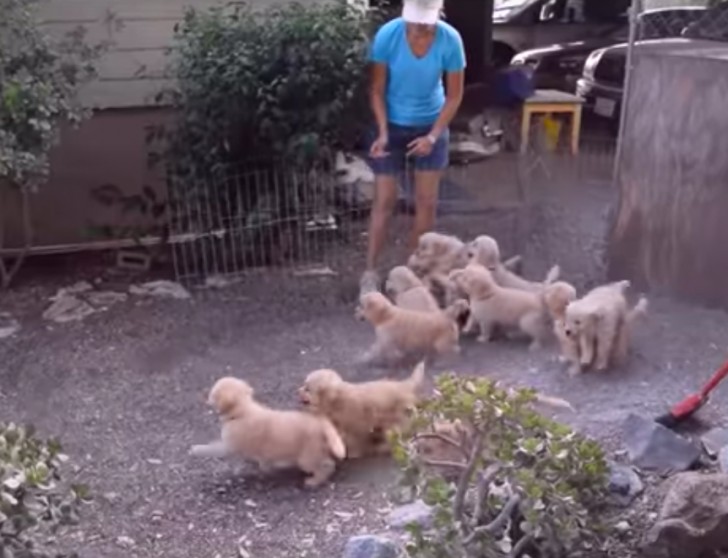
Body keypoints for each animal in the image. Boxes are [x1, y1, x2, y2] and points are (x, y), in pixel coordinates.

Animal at [191, 378, 344, 488]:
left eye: (212, 394)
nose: (204, 397)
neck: (242, 411)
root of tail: (321, 422)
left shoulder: (229, 446)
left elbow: (212, 448)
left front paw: (196, 450)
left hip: (307, 458)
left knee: (327, 465)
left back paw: (314, 481)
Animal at [298, 364, 426, 460]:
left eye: (307, 388)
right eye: (304, 385)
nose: (297, 390)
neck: (337, 399)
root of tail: (404, 386)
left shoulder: (354, 421)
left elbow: (355, 437)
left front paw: (353, 452)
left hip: (396, 420)